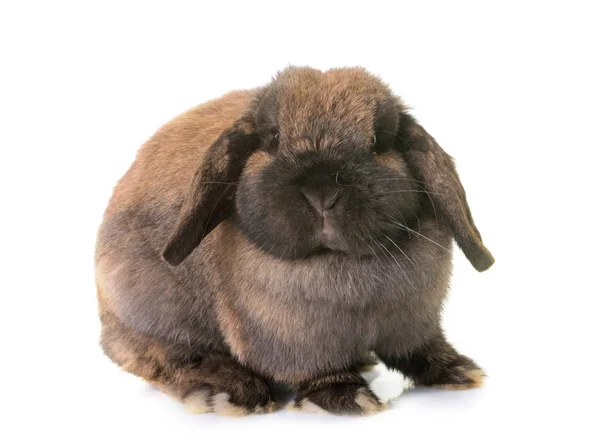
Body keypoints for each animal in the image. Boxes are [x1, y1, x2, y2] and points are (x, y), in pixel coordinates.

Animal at [96, 66, 494, 416]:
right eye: (272, 138)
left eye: (379, 140)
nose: (322, 190)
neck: (338, 262)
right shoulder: (295, 341)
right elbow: (317, 371)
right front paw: (347, 398)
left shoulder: (417, 322)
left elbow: (422, 350)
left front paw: (458, 371)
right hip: (154, 314)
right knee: (165, 357)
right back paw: (230, 392)